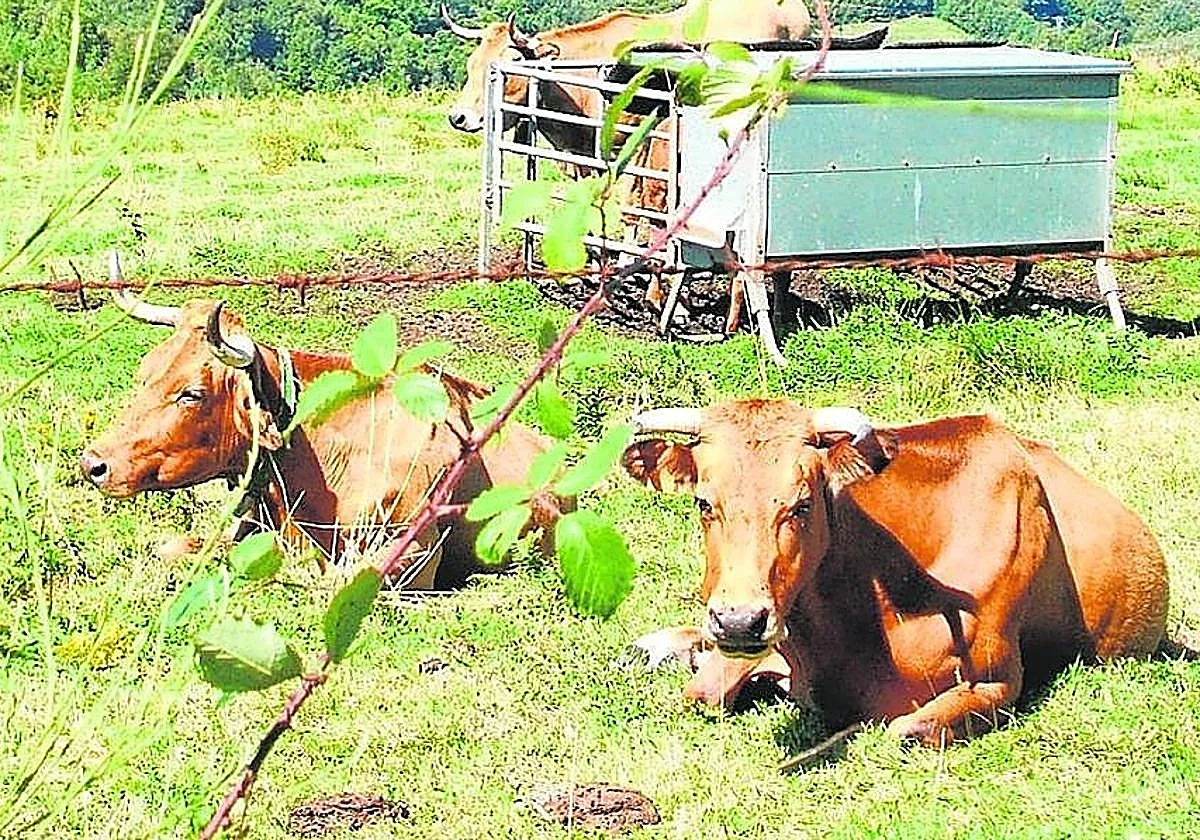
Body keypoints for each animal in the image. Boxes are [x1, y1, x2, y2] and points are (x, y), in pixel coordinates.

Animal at [621, 400, 1169, 747]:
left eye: (801, 505)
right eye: (703, 502)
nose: (739, 621)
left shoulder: (995, 681)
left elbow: (904, 731)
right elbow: (703, 693)